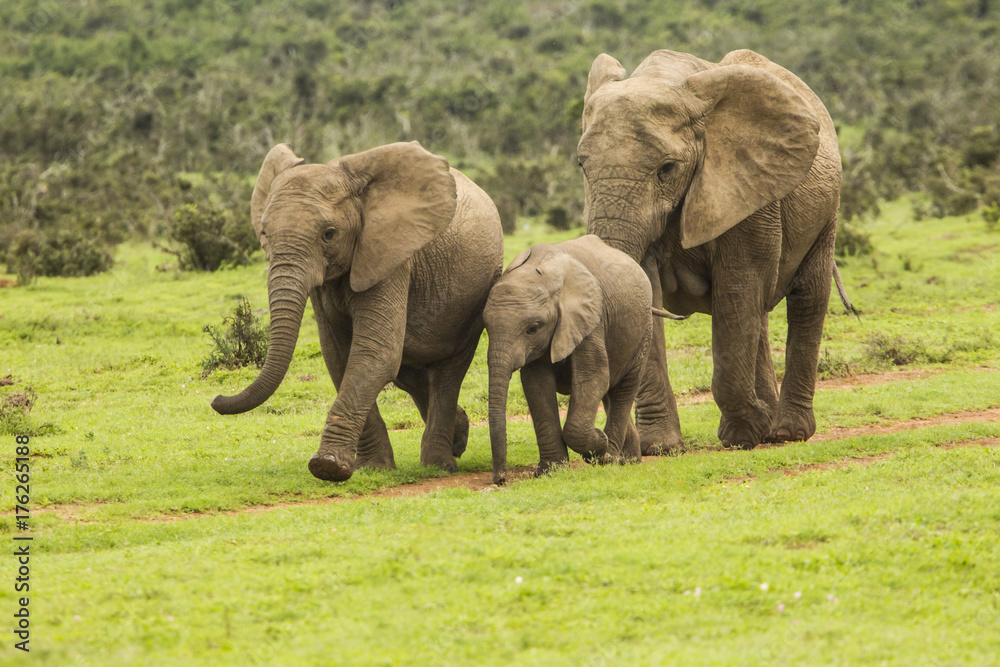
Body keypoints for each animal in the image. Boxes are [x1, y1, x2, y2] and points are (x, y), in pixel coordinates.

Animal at [214, 144, 504, 482]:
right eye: (264, 232)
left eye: (329, 234)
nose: (217, 399)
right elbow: (340, 356)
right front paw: (371, 468)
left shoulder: (388, 256)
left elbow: (373, 353)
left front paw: (326, 466)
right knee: (411, 374)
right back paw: (459, 437)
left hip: (475, 298)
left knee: (448, 372)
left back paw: (438, 464)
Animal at [484, 235, 664, 486]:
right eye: (485, 327)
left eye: (533, 328)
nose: (500, 479)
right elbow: (536, 386)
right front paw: (550, 471)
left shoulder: (590, 321)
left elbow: (592, 379)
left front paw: (598, 443)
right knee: (610, 391)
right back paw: (628, 460)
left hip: (643, 330)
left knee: (623, 389)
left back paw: (609, 457)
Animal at [580, 49, 844, 452]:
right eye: (582, 165)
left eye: (666, 169)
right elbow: (649, 289)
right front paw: (660, 447)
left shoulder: (749, 191)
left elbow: (737, 288)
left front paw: (743, 435)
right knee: (759, 313)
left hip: (825, 212)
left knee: (806, 299)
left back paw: (786, 432)